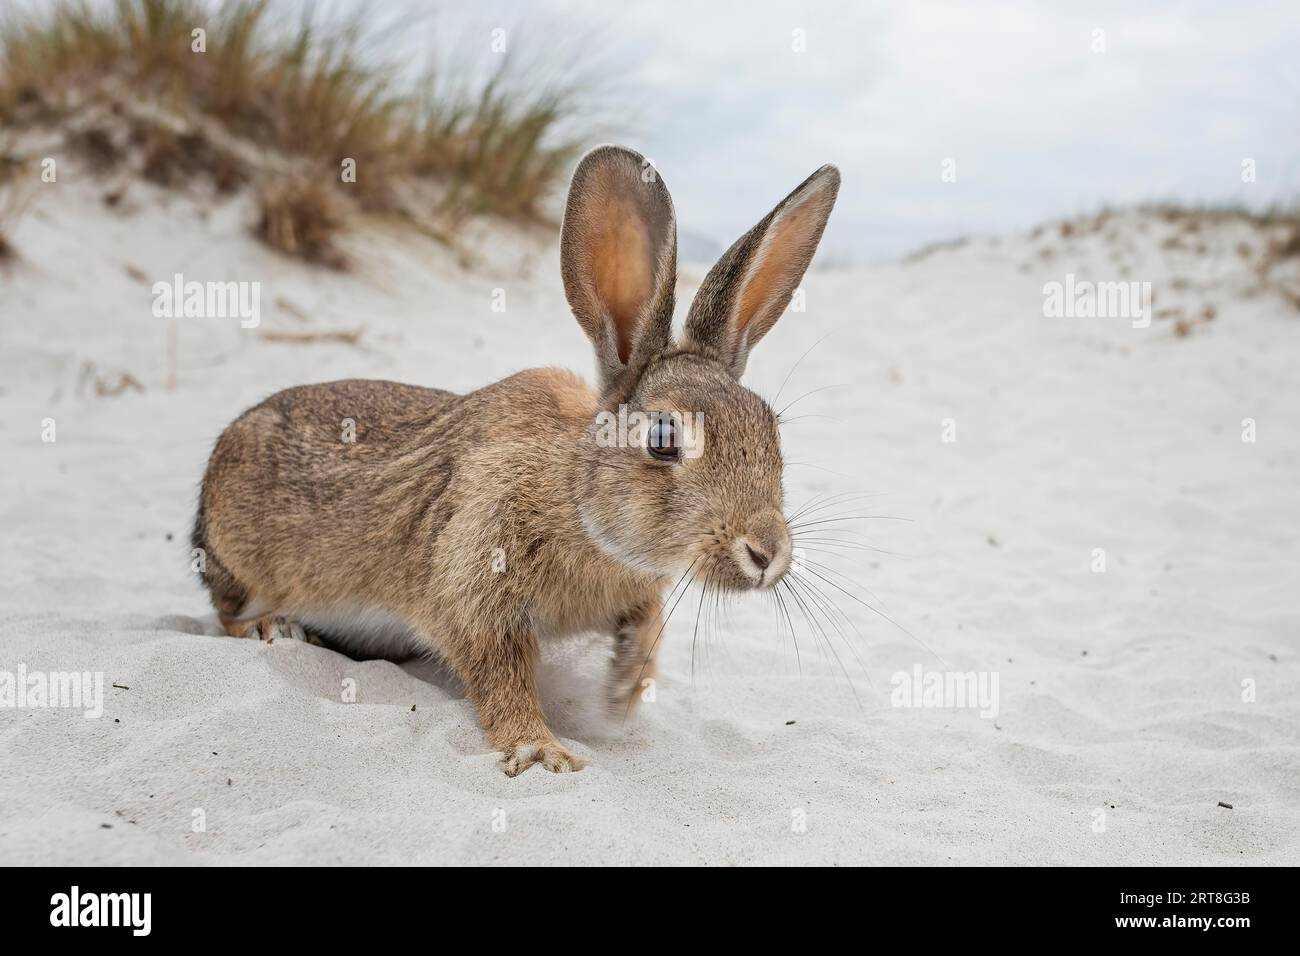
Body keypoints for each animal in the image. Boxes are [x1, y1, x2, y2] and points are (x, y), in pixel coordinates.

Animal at [192, 149, 842, 780]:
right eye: (663, 438)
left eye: (770, 427)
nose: (766, 553)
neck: (578, 499)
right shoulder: (476, 584)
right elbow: (500, 676)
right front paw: (540, 751)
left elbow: (646, 622)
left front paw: (624, 692)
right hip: (243, 557)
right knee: (226, 611)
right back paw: (273, 628)